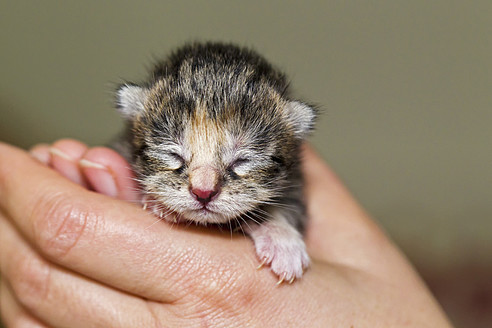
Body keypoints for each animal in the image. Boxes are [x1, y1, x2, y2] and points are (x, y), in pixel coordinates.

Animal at [114, 41, 318, 282]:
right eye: (174, 155)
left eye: (242, 160)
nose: (203, 192)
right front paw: (158, 203)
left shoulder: (295, 183)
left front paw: (282, 240)